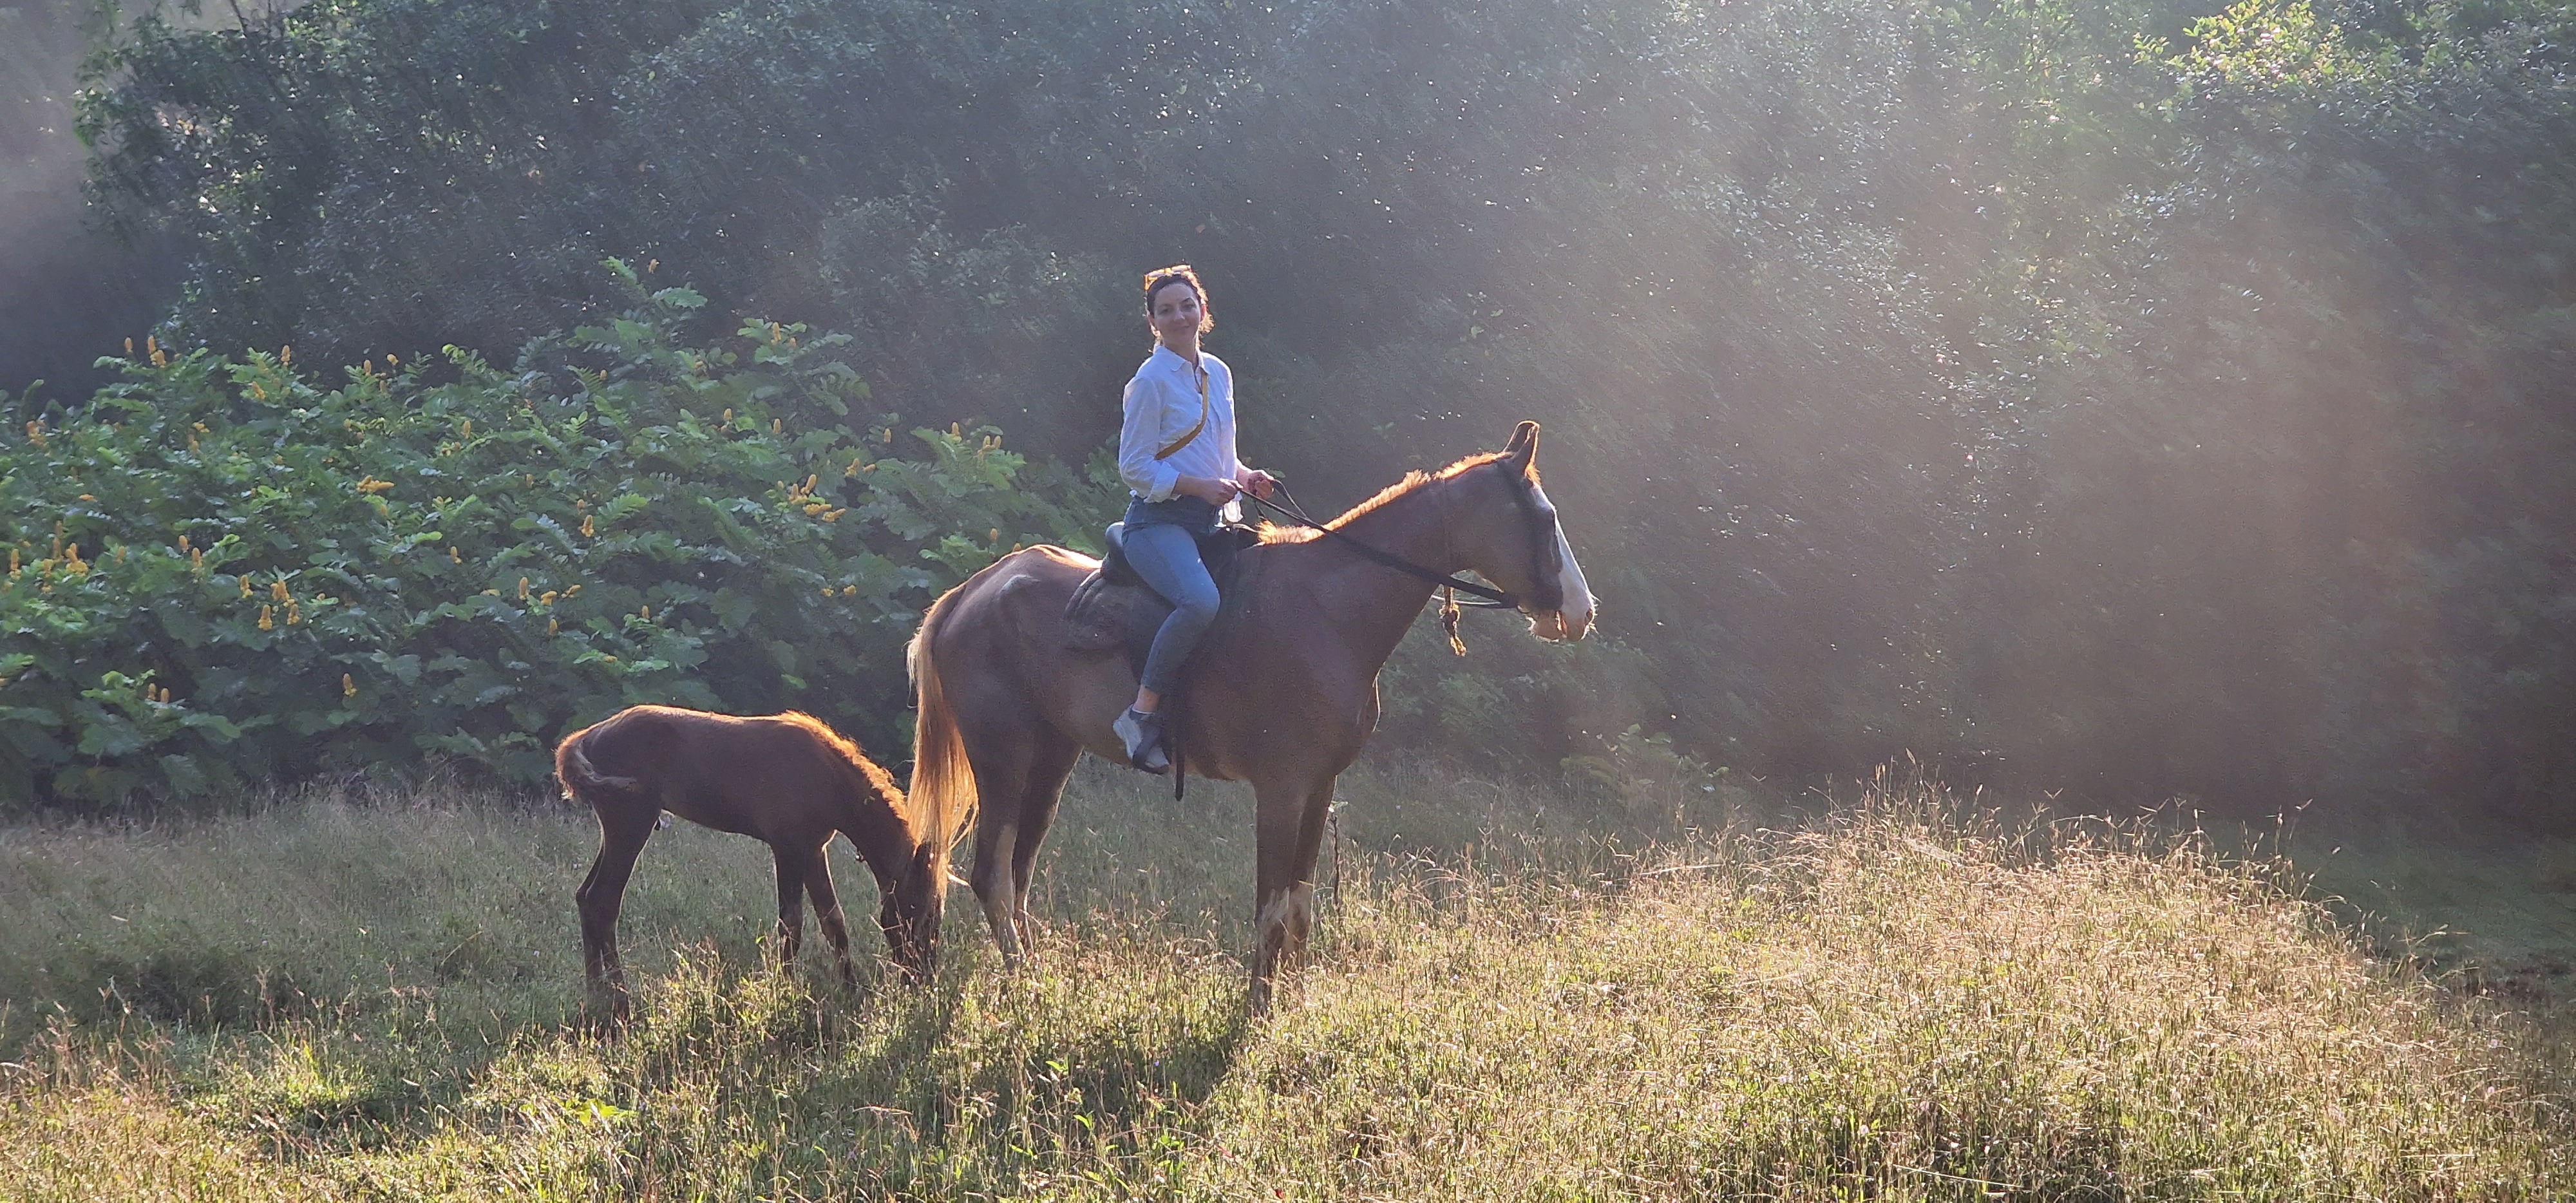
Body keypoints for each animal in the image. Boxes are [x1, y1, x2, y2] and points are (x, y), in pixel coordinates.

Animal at [554, 705, 960, 1019]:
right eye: (920, 913)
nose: (923, 980)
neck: (825, 776)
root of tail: (587, 737)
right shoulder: (788, 849)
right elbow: (792, 924)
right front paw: (787, 992)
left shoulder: (813, 851)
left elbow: (833, 921)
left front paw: (850, 988)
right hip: (630, 827)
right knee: (603, 901)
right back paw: (619, 998)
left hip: (617, 833)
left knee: (586, 897)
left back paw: (596, 992)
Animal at [906, 420, 1594, 1009]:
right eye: (1546, 518)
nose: (1582, 612)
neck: (1326, 613)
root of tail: (972, 592)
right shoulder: (1281, 792)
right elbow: (1269, 906)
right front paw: (1260, 1007)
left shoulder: (1320, 789)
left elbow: (1300, 904)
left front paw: (1296, 997)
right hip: (1002, 760)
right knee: (993, 876)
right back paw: (1025, 984)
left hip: (1052, 760)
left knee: (1019, 872)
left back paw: (1036, 973)